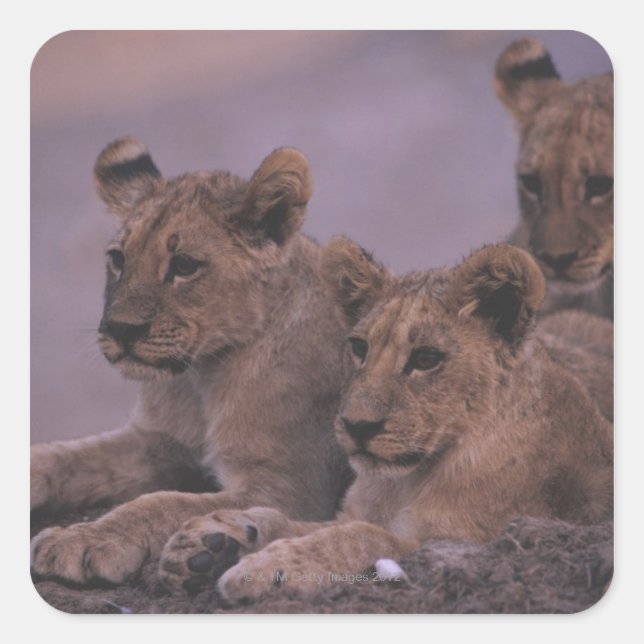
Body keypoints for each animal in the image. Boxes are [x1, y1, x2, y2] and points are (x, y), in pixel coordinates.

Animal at [30, 138, 352, 585]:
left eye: (184, 265)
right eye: (118, 258)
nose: (120, 329)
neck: (201, 379)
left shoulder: (290, 487)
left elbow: (163, 503)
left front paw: (86, 539)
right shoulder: (155, 441)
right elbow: (68, 456)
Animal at [154, 239, 613, 600]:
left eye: (426, 359)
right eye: (360, 348)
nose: (357, 426)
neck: (406, 481)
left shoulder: (467, 538)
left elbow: (361, 537)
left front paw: (262, 568)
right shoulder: (354, 511)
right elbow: (291, 519)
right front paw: (209, 538)